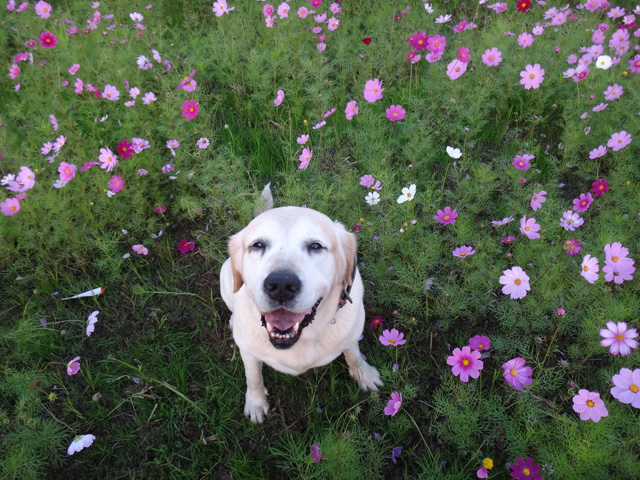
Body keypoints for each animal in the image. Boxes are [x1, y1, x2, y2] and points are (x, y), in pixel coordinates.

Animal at [220, 186, 380, 422]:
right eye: (258, 245)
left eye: (316, 246)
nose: (281, 285)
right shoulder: (248, 353)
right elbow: (254, 377)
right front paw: (256, 403)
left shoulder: (351, 337)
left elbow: (354, 356)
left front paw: (365, 375)